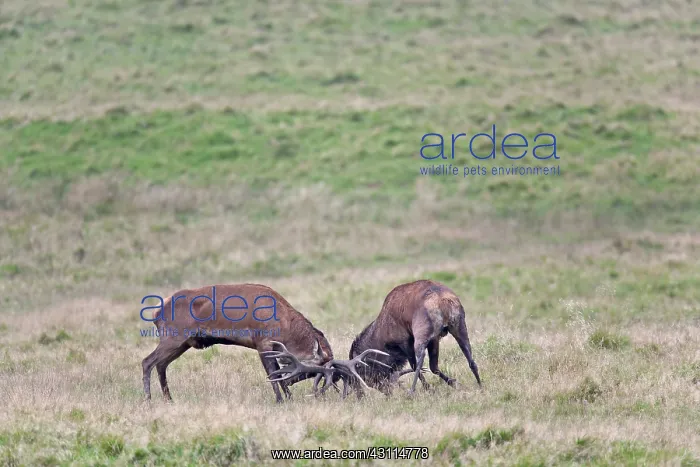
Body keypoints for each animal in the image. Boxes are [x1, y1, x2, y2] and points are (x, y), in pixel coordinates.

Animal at [140, 283, 388, 403]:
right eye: (315, 369)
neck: (285, 325)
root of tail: (156, 312)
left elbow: (277, 371)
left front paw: (288, 398)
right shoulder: (262, 342)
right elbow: (273, 373)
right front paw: (281, 400)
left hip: (182, 343)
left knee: (161, 365)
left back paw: (169, 399)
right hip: (173, 337)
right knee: (147, 361)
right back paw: (148, 399)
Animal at [338, 279, 482, 398]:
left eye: (361, 374)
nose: (359, 394)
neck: (382, 334)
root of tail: (444, 301)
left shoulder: (404, 340)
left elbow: (414, 365)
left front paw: (429, 388)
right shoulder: (435, 338)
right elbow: (434, 367)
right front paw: (454, 383)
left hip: (421, 331)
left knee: (420, 360)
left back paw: (412, 391)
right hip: (459, 325)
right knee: (470, 357)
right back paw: (480, 385)